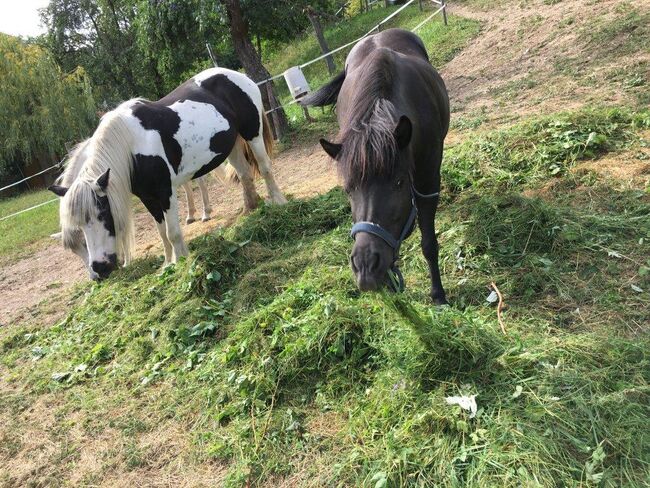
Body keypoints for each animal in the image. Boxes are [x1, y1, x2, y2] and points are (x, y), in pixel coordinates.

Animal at [50, 67, 284, 280]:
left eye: (102, 214)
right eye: (78, 227)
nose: (99, 270)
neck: (131, 146)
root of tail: (238, 75)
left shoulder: (165, 193)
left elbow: (172, 232)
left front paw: (181, 261)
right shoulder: (148, 198)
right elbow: (162, 232)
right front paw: (168, 264)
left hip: (253, 133)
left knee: (265, 167)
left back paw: (278, 202)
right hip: (232, 145)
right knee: (244, 174)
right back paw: (251, 209)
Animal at [302, 28, 448, 304]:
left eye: (399, 183)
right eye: (348, 190)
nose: (365, 267)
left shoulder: (428, 183)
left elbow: (429, 244)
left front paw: (438, 295)